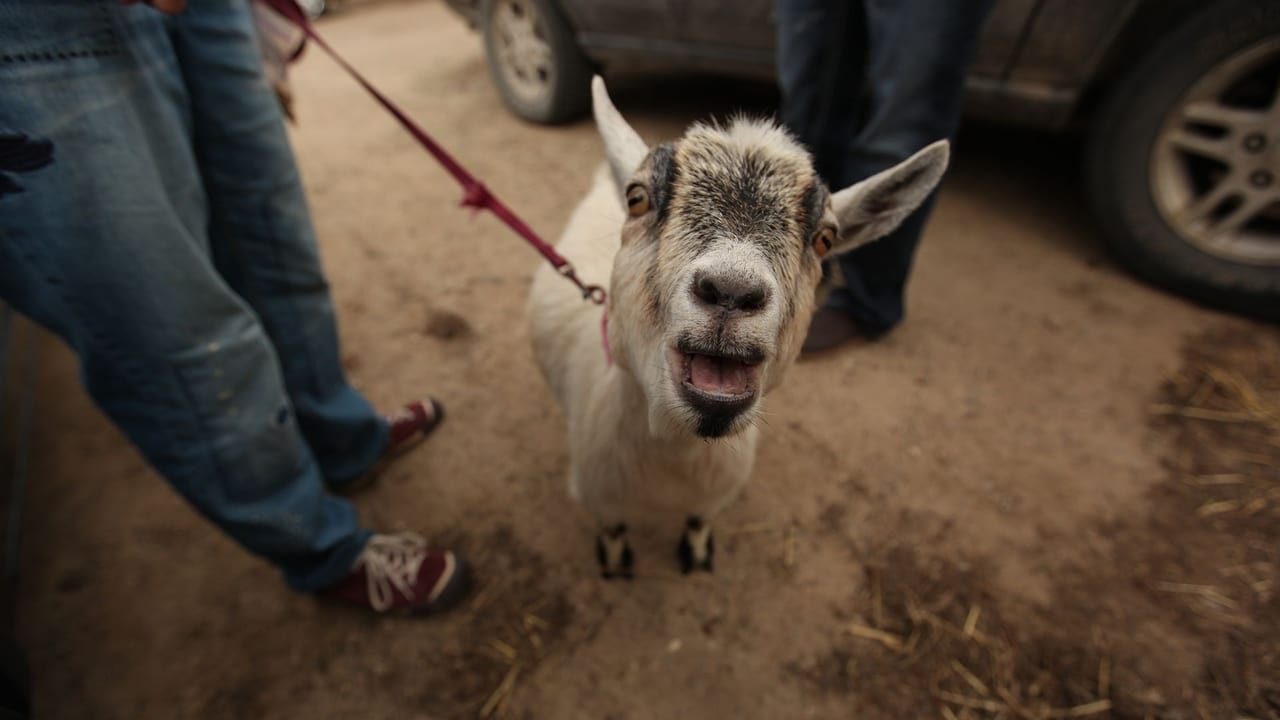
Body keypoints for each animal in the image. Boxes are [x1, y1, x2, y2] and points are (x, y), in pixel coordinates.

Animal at [529, 75, 952, 573]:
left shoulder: (712, 497)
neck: (672, 457)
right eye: (638, 199)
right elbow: (613, 534)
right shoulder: (601, 498)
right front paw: (615, 563)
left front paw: (697, 555)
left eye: (825, 239)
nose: (732, 290)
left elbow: (698, 523)